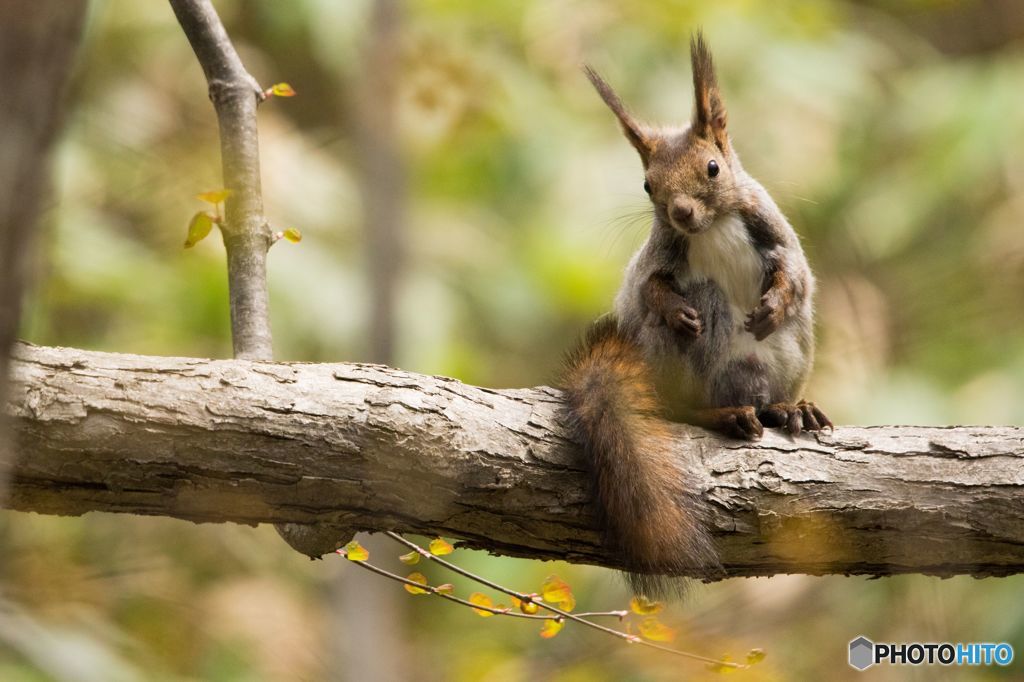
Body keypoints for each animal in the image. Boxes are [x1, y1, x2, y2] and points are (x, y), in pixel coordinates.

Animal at [561, 31, 831, 593]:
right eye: (648, 185)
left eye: (713, 167)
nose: (681, 211)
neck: (713, 227)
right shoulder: (657, 259)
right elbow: (648, 290)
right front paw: (674, 310)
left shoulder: (779, 237)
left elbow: (795, 279)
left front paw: (772, 306)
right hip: (680, 356)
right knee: (684, 406)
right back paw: (722, 413)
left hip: (791, 353)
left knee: (770, 391)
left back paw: (787, 409)